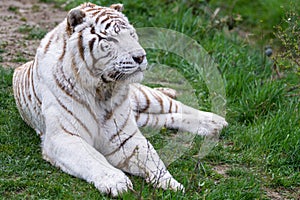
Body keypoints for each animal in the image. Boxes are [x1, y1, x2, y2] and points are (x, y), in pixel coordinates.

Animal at [12, 2, 227, 197]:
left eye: (131, 34)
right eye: (110, 39)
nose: (141, 57)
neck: (102, 90)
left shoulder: (124, 136)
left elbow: (150, 157)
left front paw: (170, 183)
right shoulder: (64, 136)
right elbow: (92, 159)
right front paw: (117, 183)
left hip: (144, 98)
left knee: (175, 105)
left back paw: (214, 121)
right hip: (143, 117)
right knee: (166, 118)